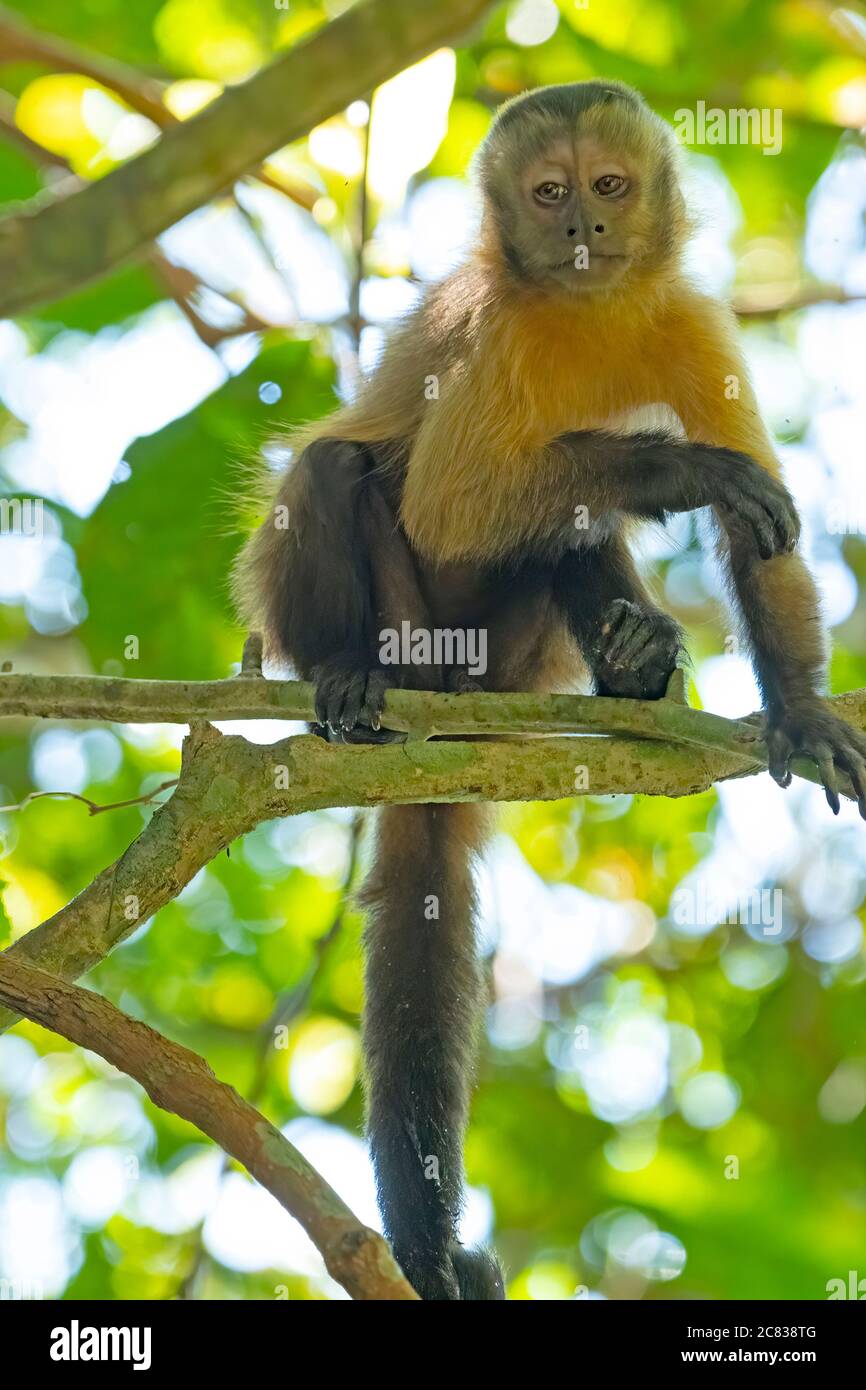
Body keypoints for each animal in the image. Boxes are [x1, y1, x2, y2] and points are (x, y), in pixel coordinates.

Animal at [234, 81, 866, 1295]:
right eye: (546, 193)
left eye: (607, 185)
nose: (582, 227)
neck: (588, 311)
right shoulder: (497, 328)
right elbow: (453, 503)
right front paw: (675, 471)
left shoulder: (690, 321)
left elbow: (761, 546)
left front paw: (803, 712)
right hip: (407, 629)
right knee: (343, 471)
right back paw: (352, 677)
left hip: (516, 659)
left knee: (562, 539)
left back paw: (631, 660)